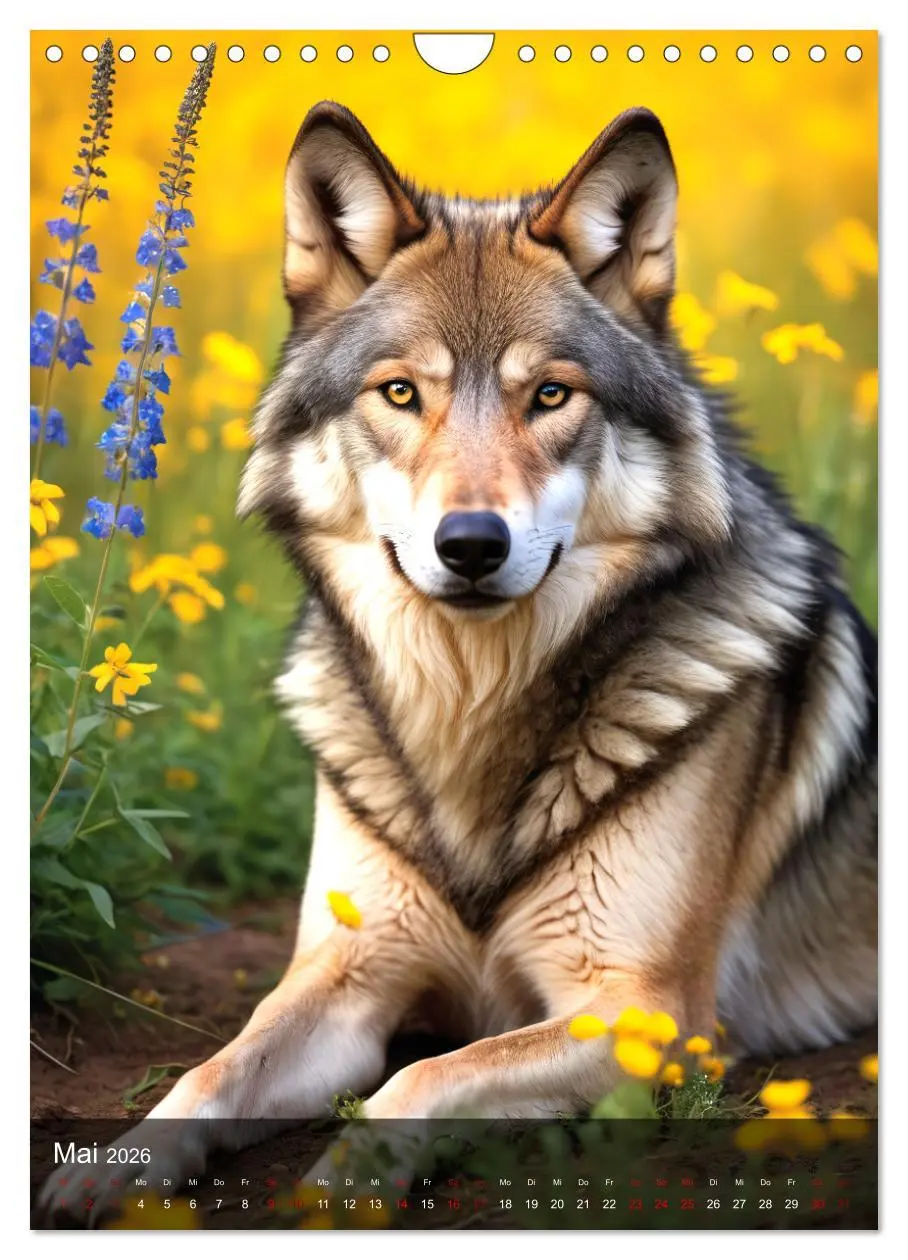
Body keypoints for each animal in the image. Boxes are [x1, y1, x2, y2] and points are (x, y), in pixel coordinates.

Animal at [41, 101, 877, 1212]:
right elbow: (213, 1069)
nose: (471, 545)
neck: (469, 712)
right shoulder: (348, 976)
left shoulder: (646, 1013)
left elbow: (424, 1079)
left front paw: (333, 1199)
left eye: (551, 397)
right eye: (400, 393)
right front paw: (116, 1170)